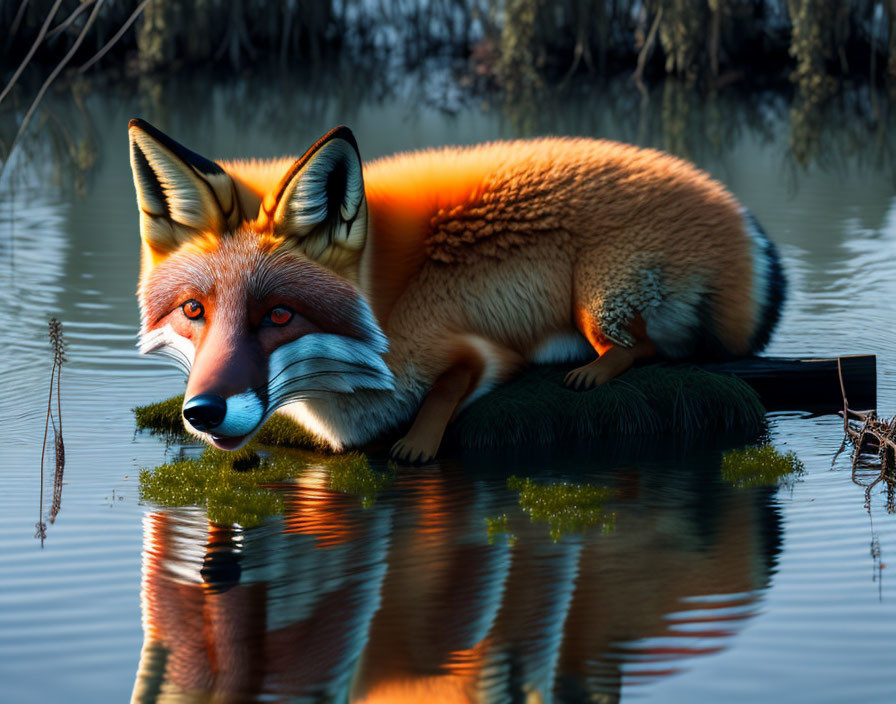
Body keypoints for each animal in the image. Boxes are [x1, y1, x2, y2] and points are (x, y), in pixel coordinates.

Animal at [128, 121, 784, 462]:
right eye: (193, 310)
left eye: (280, 315)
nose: (202, 411)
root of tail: (729, 209)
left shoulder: (478, 351)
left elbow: (448, 390)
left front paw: (418, 442)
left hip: (595, 296)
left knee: (644, 348)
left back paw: (592, 371)